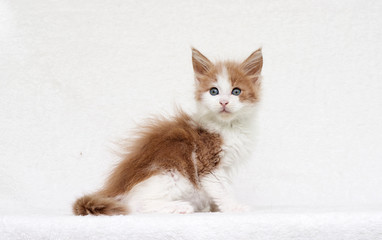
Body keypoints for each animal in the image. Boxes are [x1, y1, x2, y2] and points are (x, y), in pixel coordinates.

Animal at [72, 47, 262, 215]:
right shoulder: (207, 163)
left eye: (236, 91)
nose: (223, 102)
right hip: (172, 173)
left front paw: (215, 207)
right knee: (136, 205)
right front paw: (235, 208)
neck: (228, 126)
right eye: (214, 91)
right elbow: (221, 189)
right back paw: (180, 207)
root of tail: (115, 190)